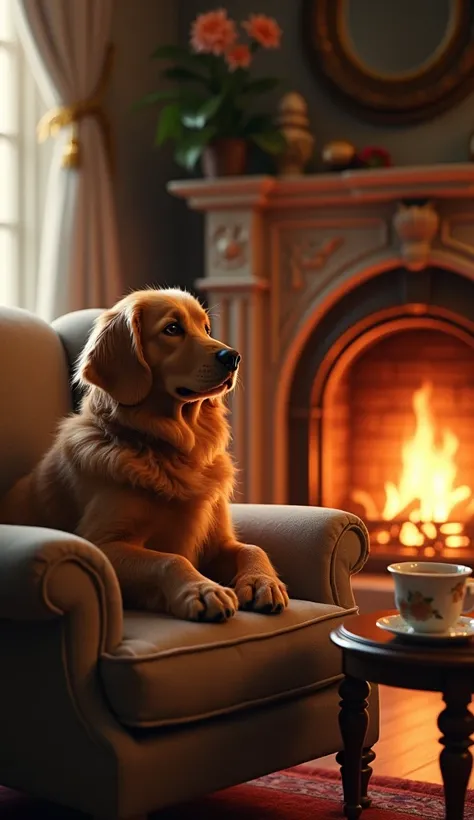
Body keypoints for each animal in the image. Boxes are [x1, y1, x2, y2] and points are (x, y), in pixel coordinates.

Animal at [0, 288, 288, 620]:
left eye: (206, 329)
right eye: (172, 329)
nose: (233, 357)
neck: (170, 450)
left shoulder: (218, 543)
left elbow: (253, 547)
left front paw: (262, 581)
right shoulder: (101, 544)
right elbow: (169, 559)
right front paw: (204, 590)